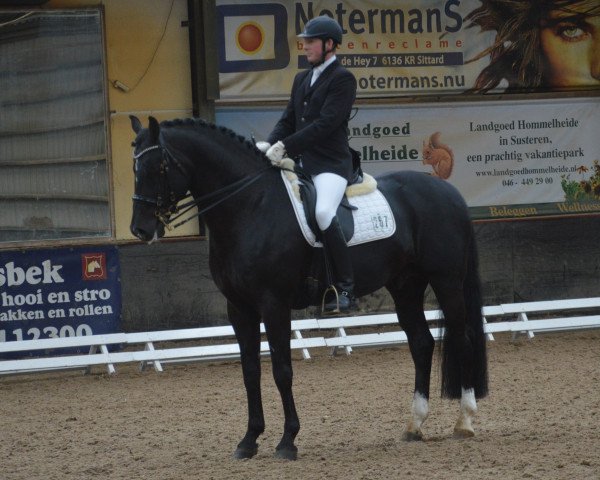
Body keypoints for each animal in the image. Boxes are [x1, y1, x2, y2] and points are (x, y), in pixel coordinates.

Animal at [127, 116, 488, 462]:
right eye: (134, 167)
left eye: (158, 167)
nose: (140, 229)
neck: (250, 205)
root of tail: (448, 192)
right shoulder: (239, 308)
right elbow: (250, 371)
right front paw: (248, 441)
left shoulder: (274, 303)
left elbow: (282, 370)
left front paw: (287, 442)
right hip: (406, 286)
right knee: (421, 344)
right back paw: (415, 425)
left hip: (446, 280)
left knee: (463, 338)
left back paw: (465, 421)